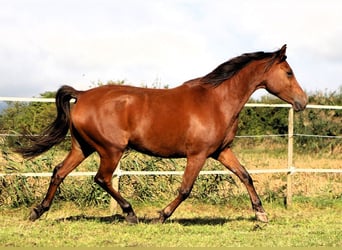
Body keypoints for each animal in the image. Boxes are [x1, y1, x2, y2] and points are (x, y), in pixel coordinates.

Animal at [17, 44, 308, 223]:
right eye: (289, 72)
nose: (302, 102)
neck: (217, 101)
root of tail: (83, 94)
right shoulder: (198, 155)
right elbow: (185, 189)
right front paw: (161, 215)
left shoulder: (221, 151)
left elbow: (246, 176)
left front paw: (261, 214)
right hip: (111, 150)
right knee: (102, 178)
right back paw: (130, 213)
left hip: (82, 147)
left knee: (59, 172)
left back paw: (37, 211)